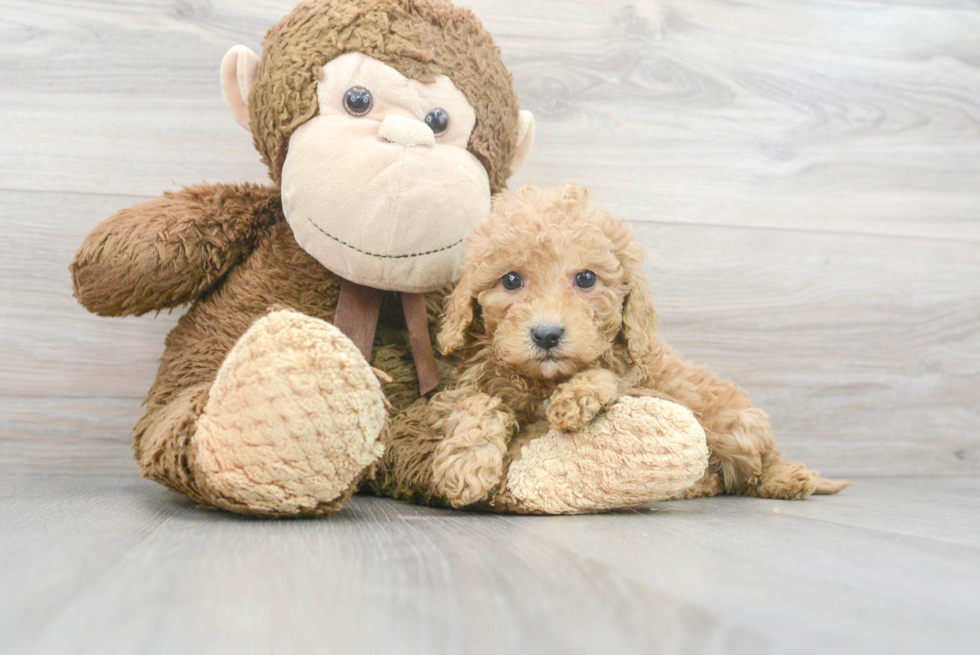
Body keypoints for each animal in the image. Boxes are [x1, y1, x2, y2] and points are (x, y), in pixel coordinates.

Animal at [430, 184, 848, 508]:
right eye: (511, 280)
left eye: (586, 278)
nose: (547, 335)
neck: (543, 380)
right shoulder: (462, 385)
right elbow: (477, 403)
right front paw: (466, 463)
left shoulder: (643, 382)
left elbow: (608, 377)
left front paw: (575, 397)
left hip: (733, 425)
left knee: (758, 463)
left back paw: (788, 478)